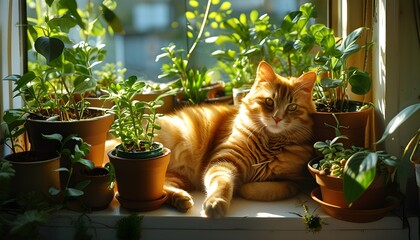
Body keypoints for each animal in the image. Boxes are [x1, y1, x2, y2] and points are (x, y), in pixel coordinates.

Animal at [157, 61, 316, 218]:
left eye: (292, 107)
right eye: (269, 101)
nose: (277, 118)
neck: (270, 144)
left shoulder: (295, 181)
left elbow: (271, 190)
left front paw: (244, 187)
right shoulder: (224, 161)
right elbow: (223, 183)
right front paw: (215, 203)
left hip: (178, 177)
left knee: (163, 188)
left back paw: (180, 200)